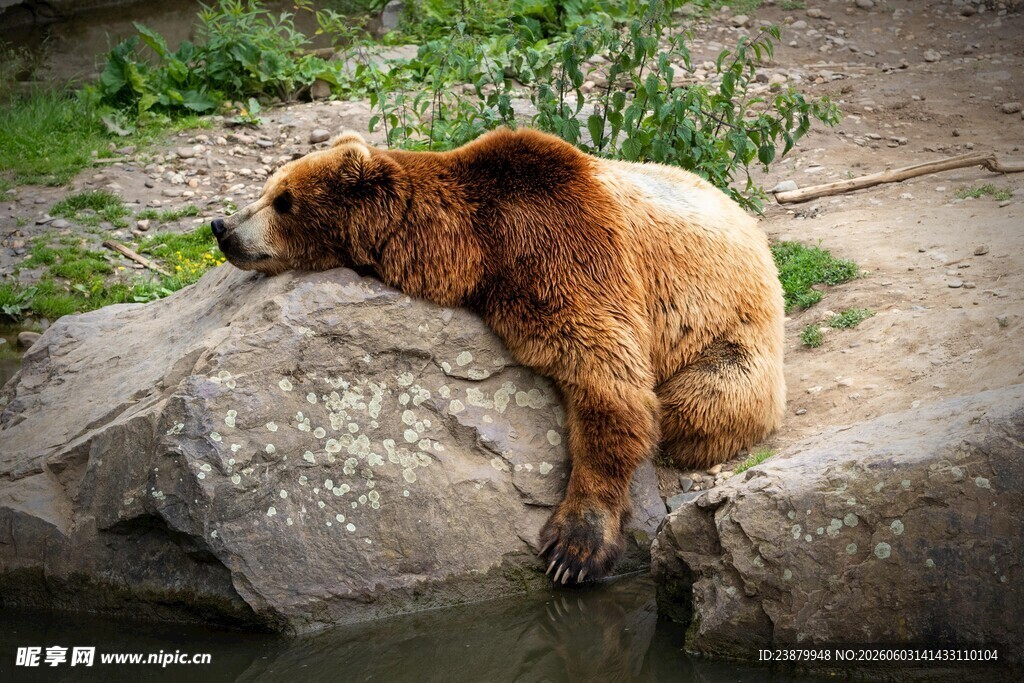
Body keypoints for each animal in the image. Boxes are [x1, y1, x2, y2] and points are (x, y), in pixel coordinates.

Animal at [211, 128, 785, 584]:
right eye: (266, 188)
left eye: (283, 200)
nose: (222, 227)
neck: (471, 247)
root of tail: (756, 231)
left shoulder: (563, 246)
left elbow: (608, 377)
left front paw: (574, 548)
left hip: (734, 335)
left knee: (697, 403)